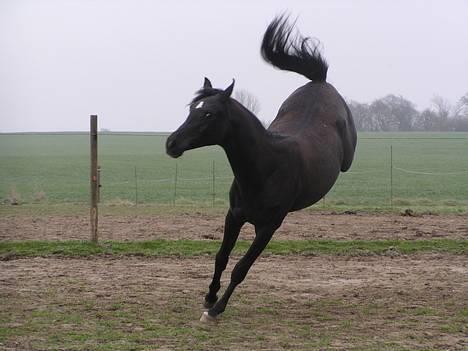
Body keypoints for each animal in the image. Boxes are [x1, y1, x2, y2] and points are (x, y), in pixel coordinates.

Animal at [166, 15, 356, 322]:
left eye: (208, 113)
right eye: (192, 109)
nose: (171, 143)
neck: (265, 169)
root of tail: (319, 82)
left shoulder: (268, 227)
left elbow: (241, 268)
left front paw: (215, 310)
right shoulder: (234, 216)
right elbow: (221, 257)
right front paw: (209, 297)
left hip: (347, 157)